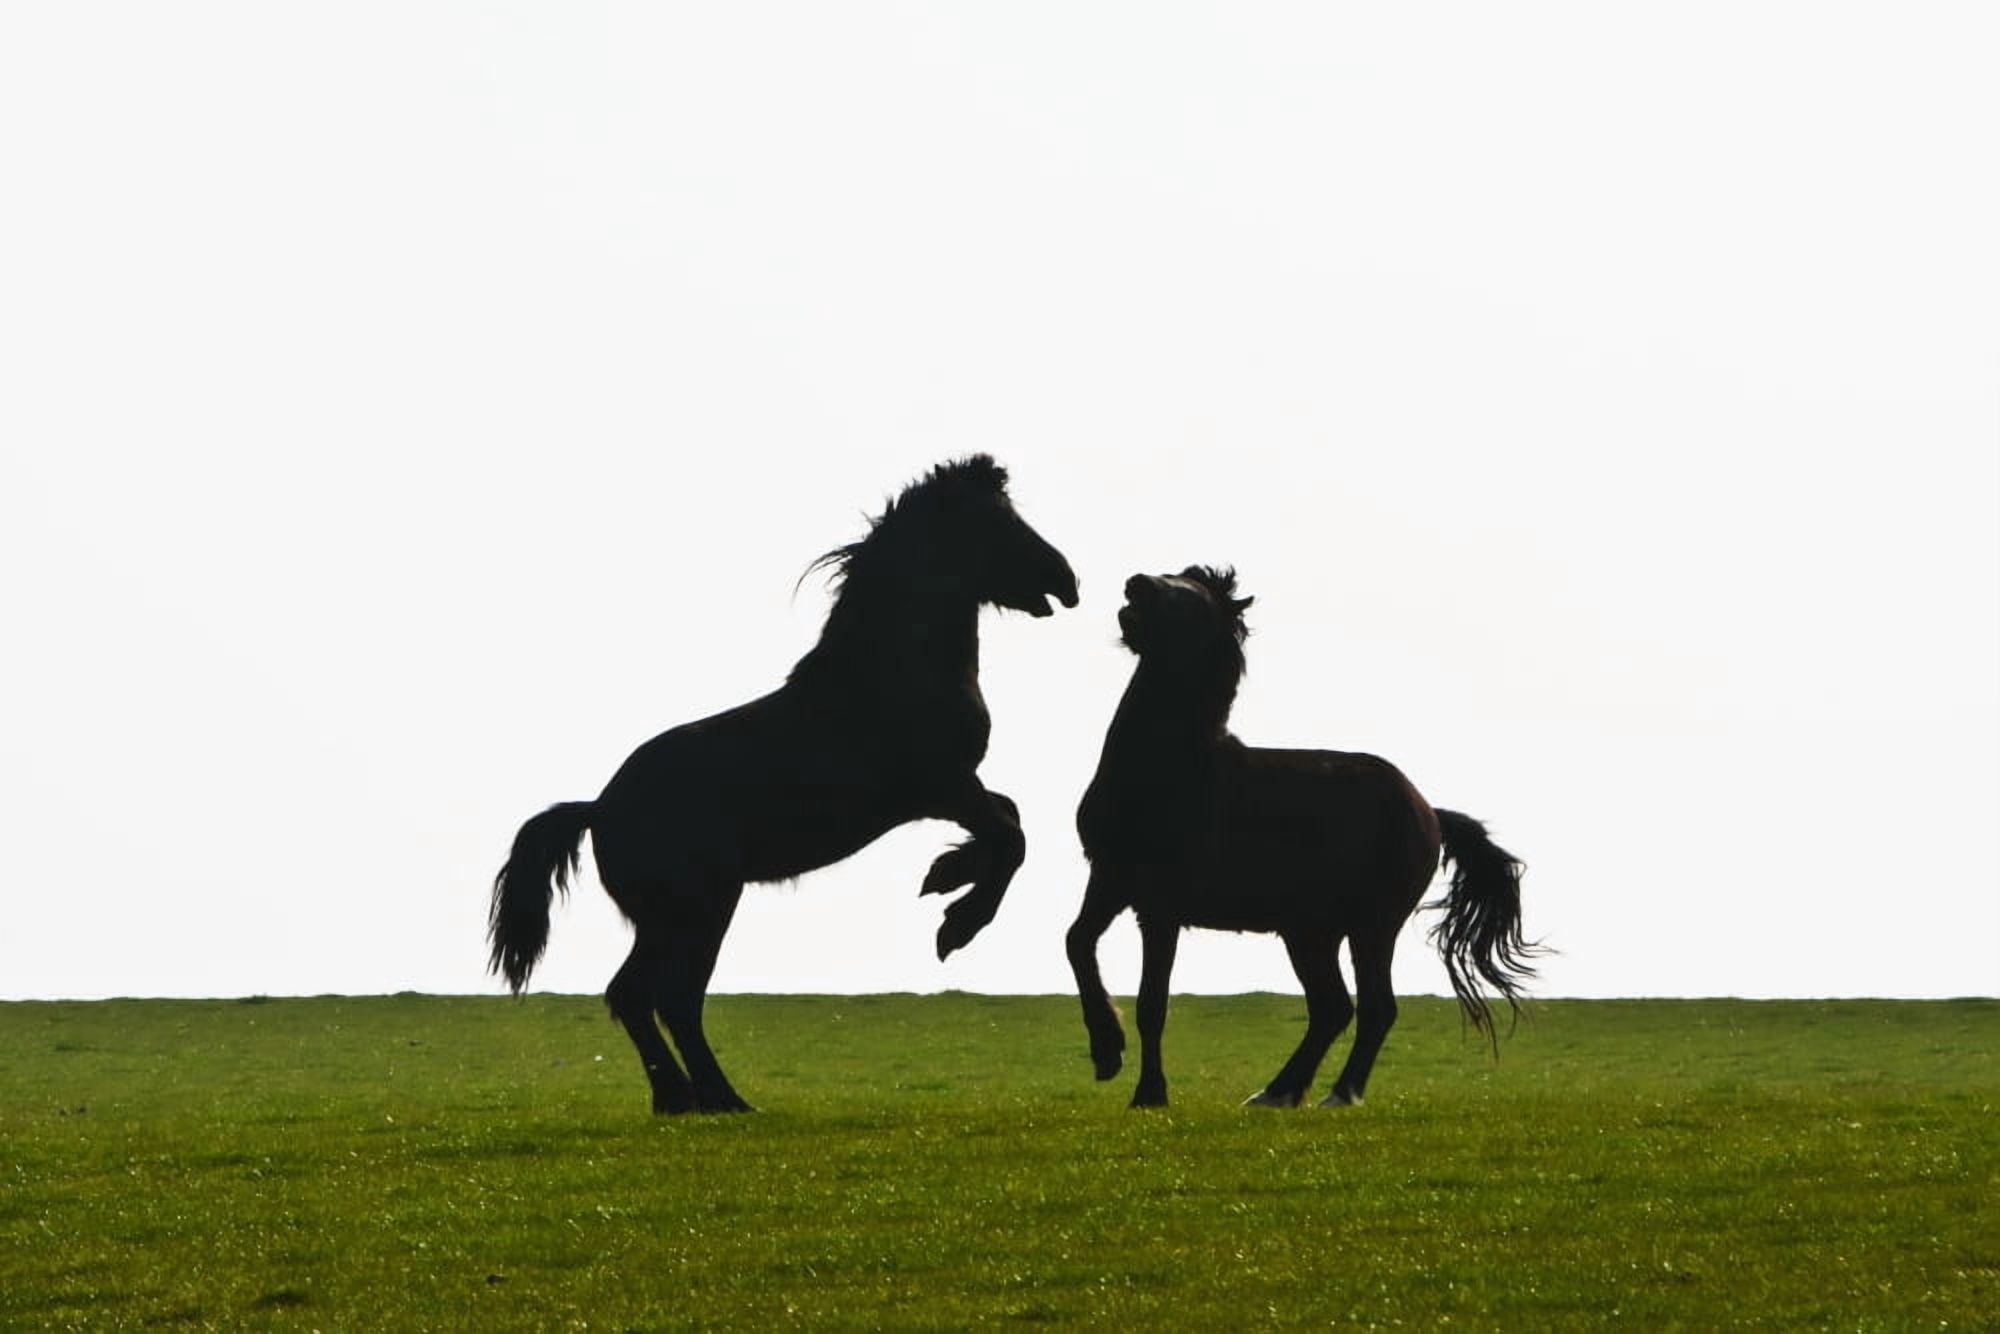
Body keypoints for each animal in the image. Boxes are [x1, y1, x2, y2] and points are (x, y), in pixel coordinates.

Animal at [489, 455, 1078, 1113]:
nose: (1067, 582)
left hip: (685, 914)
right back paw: (709, 1097)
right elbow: (1011, 836)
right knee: (657, 997)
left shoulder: (956, 789)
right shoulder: (941, 787)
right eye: (995, 522)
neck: (888, 672)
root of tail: (597, 809)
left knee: (651, 997)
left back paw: (693, 1097)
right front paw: (956, 921)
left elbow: (1010, 818)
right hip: (694, 910)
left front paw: (947, 875)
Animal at [1067, 566, 1539, 1108]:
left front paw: (1148, 1093)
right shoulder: (1110, 880)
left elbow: (1152, 1004)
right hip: (1310, 931)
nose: (1136, 583)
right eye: (1170, 576)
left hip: (1372, 925)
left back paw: (1339, 1094)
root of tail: (1430, 814)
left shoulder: (1161, 907)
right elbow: (1077, 942)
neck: (1169, 768)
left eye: (1191, 598)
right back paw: (1278, 1092)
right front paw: (1107, 1052)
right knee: (1332, 1008)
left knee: (1375, 1008)